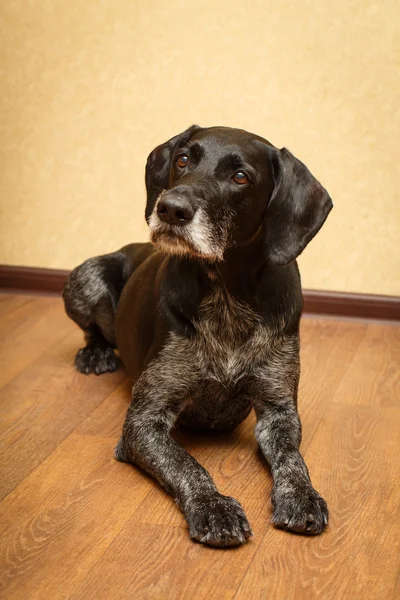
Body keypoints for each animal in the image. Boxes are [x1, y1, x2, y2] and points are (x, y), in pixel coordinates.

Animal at [63, 124, 332, 548]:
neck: (227, 294)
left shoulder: (278, 410)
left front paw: (302, 496)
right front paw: (214, 507)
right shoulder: (144, 420)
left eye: (240, 177)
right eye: (183, 159)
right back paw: (96, 353)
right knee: (93, 326)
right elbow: (187, 464)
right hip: (85, 275)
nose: (170, 209)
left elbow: (293, 459)